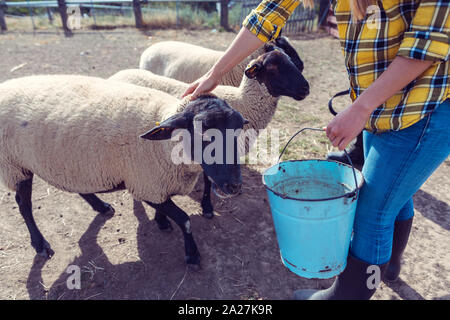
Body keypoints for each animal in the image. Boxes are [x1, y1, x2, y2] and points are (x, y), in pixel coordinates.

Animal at [0, 74, 246, 264]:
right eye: (203, 133)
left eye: (239, 130)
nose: (234, 186)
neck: (166, 145)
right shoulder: (145, 185)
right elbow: (184, 219)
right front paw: (192, 255)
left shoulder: (154, 185)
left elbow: (169, 210)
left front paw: (162, 221)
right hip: (15, 165)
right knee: (24, 205)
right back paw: (40, 244)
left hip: (72, 162)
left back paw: (101, 206)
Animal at [111, 47, 312, 218]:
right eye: (273, 67)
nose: (306, 88)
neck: (244, 101)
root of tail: (119, 73)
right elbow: (208, 179)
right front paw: (207, 206)